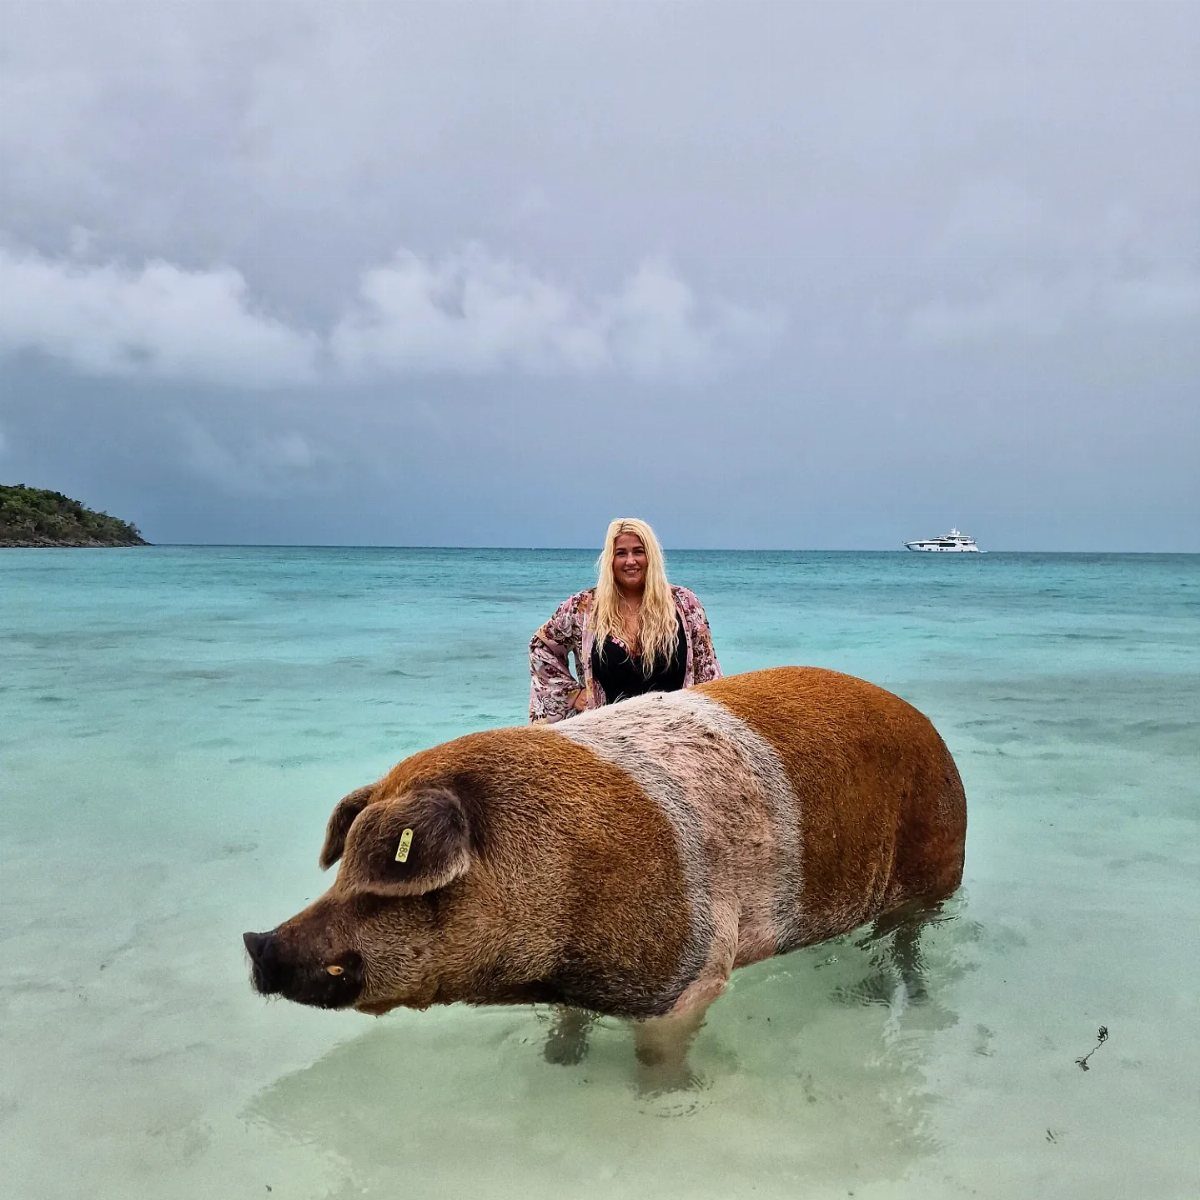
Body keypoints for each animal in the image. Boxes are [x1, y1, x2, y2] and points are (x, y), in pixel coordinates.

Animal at [244, 666, 966, 1084]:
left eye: (380, 879)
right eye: (339, 872)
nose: (257, 942)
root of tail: (929, 729)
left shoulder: (695, 975)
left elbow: (658, 1054)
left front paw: (670, 1095)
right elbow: (571, 1021)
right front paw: (557, 1061)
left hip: (936, 867)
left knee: (908, 942)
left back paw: (892, 996)